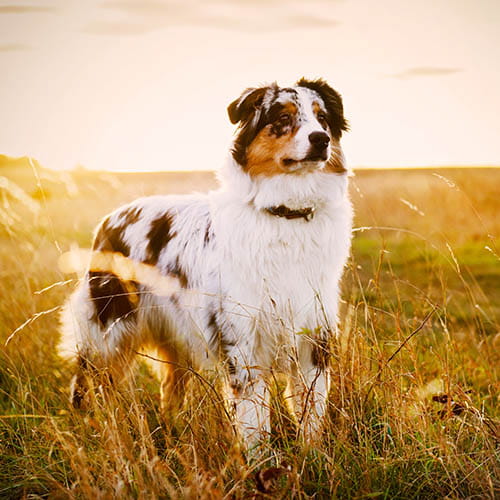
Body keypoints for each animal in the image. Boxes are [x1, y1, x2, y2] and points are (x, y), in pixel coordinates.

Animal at [59, 78, 352, 446]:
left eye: (322, 118)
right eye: (283, 118)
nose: (320, 140)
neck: (286, 215)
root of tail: (111, 217)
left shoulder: (314, 339)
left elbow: (311, 415)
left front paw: (312, 455)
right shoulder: (243, 343)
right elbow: (254, 422)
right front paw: (259, 460)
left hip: (174, 337)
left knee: (170, 388)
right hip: (106, 333)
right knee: (86, 385)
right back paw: (90, 431)